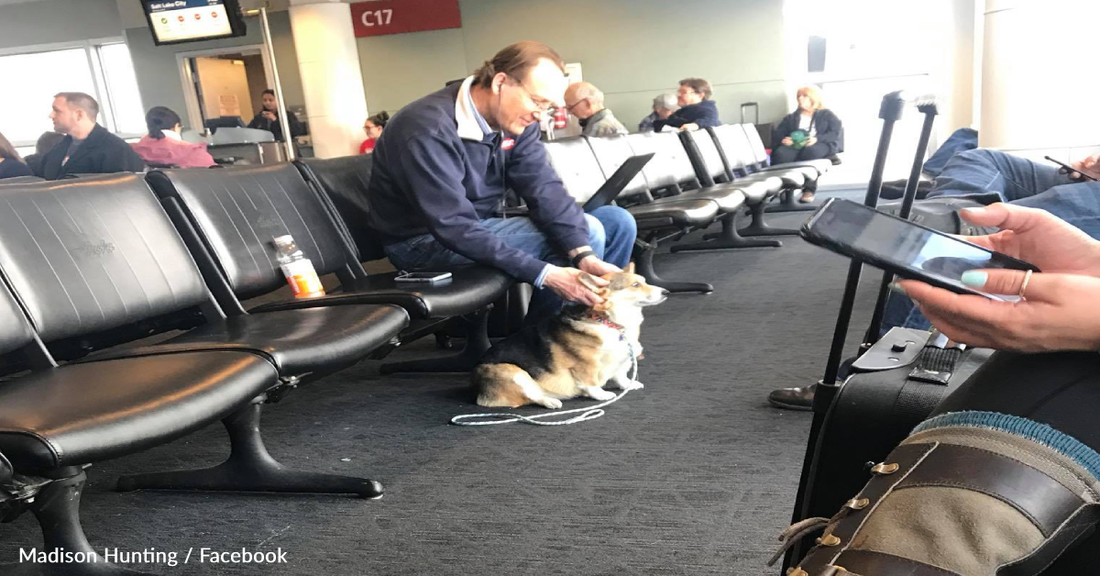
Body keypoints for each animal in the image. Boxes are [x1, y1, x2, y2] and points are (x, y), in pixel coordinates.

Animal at [468, 264, 664, 408]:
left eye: (644, 281)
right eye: (635, 285)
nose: (666, 292)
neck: (607, 322)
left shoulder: (623, 360)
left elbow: (621, 375)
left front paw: (629, 385)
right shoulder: (587, 365)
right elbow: (591, 383)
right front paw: (602, 395)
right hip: (514, 373)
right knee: (531, 396)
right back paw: (551, 401)